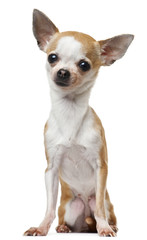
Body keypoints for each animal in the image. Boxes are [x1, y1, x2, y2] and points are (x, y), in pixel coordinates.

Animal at [23, 8, 133, 236]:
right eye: (52, 57)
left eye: (84, 65)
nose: (63, 71)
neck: (70, 111)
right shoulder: (51, 170)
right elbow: (49, 207)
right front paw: (41, 227)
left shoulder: (101, 167)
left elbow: (99, 207)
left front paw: (104, 228)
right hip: (70, 206)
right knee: (65, 217)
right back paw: (63, 227)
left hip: (104, 203)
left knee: (102, 210)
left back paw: (110, 225)